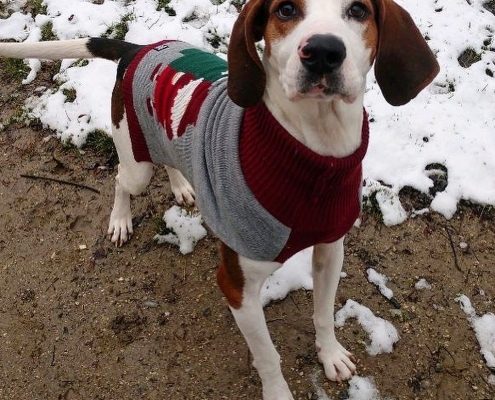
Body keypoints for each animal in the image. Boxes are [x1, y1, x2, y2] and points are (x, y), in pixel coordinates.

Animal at [0, 0, 442, 396]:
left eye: (359, 10)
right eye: (285, 10)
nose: (322, 52)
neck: (314, 152)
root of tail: (137, 49)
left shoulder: (330, 251)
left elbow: (323, 314)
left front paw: (330, 355)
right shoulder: (237, 288)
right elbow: (268, 357)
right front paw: (278, 393)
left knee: (169, 160)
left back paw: (182, 185)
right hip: (136, 162)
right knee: (123, 182)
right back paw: (121, 220)